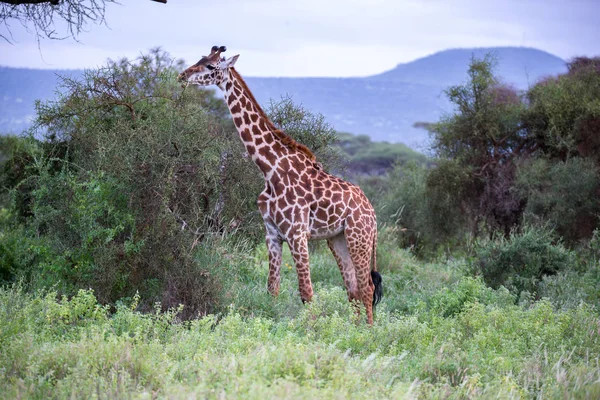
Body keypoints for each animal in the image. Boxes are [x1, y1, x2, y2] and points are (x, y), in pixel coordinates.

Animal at [178, 45, 384, 324]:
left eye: (211, 66)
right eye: (200, 59)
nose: (183, 75)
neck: (270, 169)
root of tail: (371, 211)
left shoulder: (297, 234)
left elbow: (306, 292)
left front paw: (310, 330)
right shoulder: (272, 234)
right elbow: (272, 289)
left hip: (359, 236)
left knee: (367, 287)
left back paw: (368, 331)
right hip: (337, 239)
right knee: (352, 289)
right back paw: (353, 329)